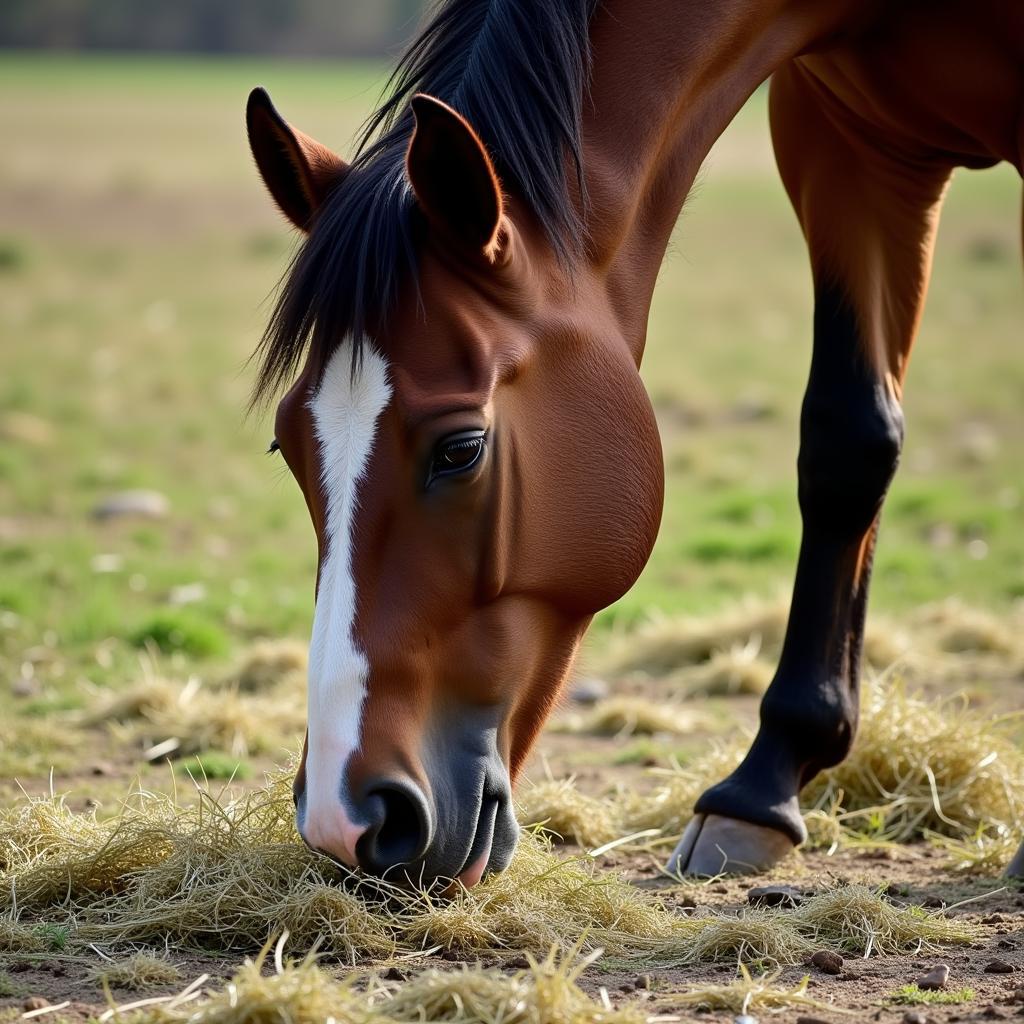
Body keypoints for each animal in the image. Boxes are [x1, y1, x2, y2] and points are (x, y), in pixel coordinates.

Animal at [247, 0, 1024, 884]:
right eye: (287, 447)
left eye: (461, 450)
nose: (346, 820)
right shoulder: (848, 144)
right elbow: (847, 439)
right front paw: (762, 790)